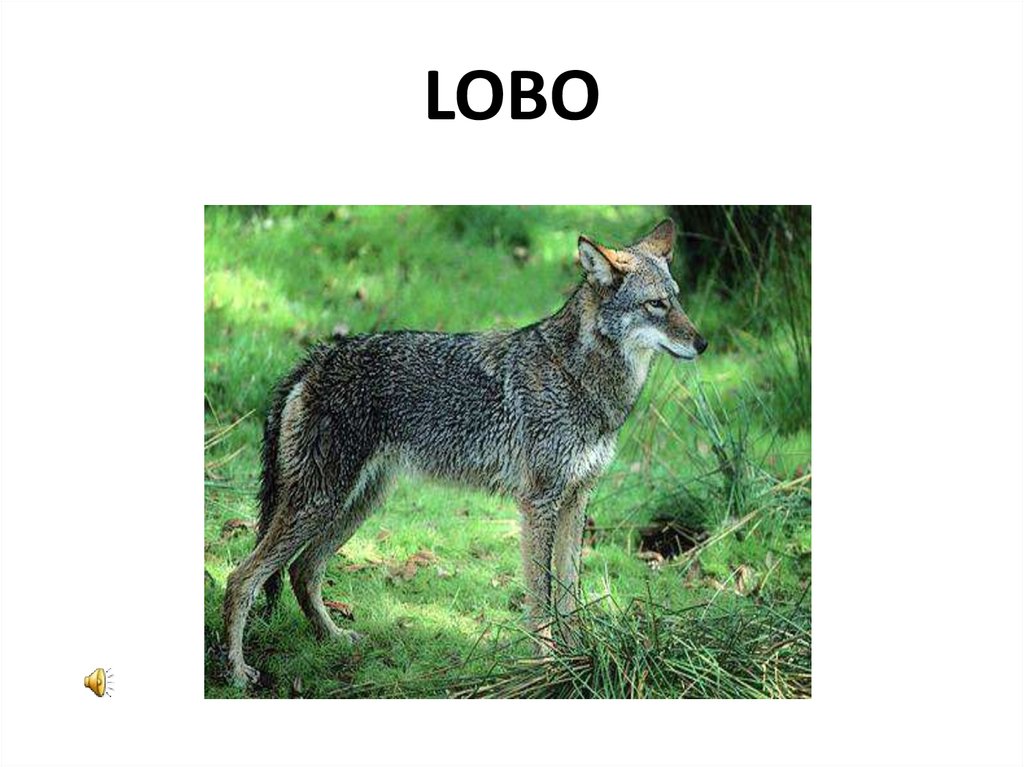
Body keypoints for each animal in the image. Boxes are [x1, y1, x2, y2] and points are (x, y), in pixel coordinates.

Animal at [222, 219, 706, 685]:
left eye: (677, 300)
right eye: (655, 305)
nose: (702, 344)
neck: (579, 378)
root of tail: (317, 357)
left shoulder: (576, 499)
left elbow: (569, 593)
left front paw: (582, 659)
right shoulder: (540, 504)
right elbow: (542, 597)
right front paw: (550, 667)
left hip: (357, 504)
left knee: (302, 572)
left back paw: (334, 638)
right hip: (320, 504)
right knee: (241, 577)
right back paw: (237, 671)